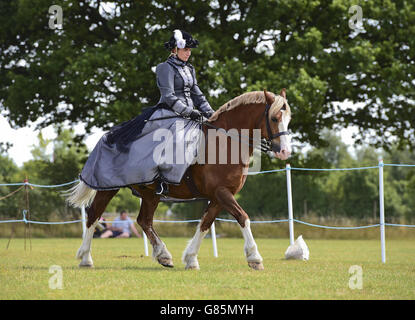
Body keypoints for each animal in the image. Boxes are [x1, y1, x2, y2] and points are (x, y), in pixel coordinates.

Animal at [66, 89, 290, 272]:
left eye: (288, 119)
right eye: (274, 118)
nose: (285, 152)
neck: (224, 143)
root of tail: (109, 135)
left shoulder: (220, 196)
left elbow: (205, 224)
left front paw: (191, 259)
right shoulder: (221, 193)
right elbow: (243, 217)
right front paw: (255, 258)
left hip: (150, 194)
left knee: (144, 220)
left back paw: (164, 256)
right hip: (108, 187)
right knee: (94, 215)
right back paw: (86, 259)